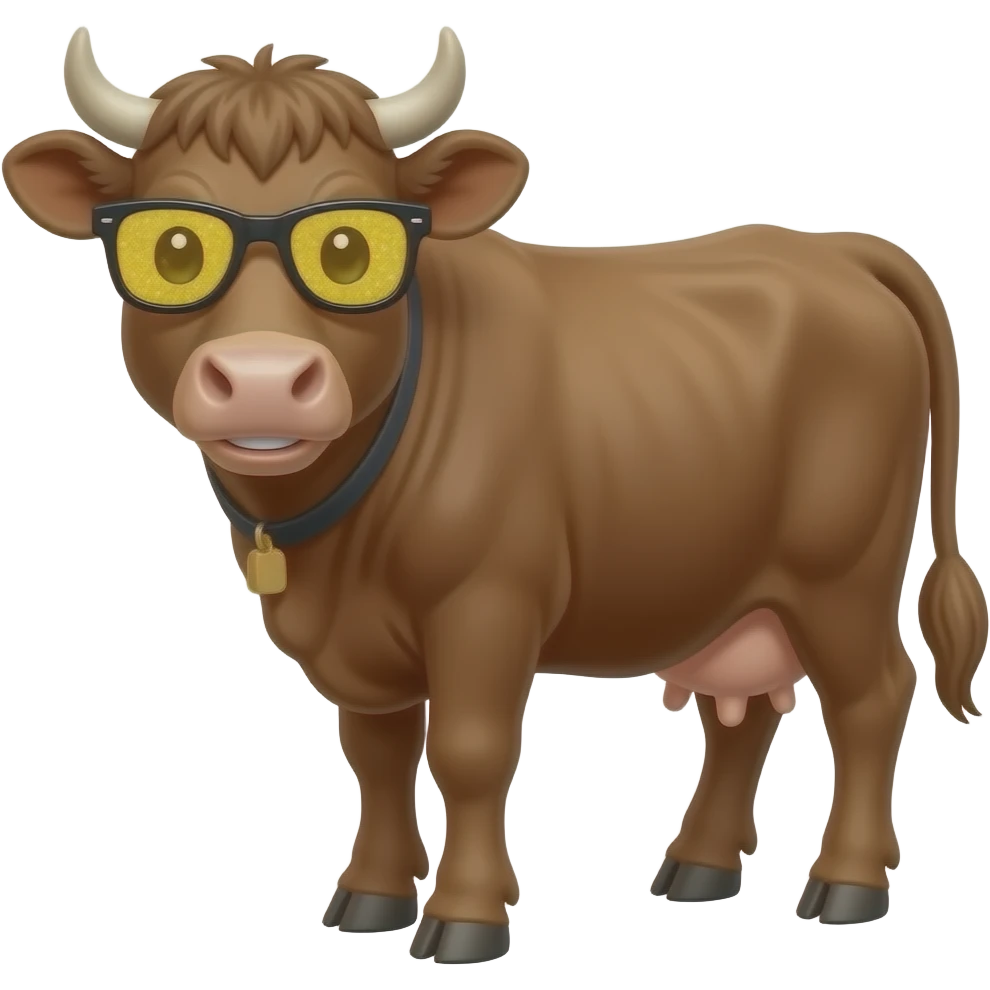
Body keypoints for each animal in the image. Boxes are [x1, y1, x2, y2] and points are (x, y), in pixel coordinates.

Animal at [3, 25, 986, 963]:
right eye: (173, 249)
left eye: (349, 250)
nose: (262, 380)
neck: (326, 543)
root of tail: (831, 247)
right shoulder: (361, 647)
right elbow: (377, 756)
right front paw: (372, 897)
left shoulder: (486, 602)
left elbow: (468, 751)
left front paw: (466, 917)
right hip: (733, 586)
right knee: (740, 717)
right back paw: (699, 869)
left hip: (842, 573)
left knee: (872, 700)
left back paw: (847, 884)